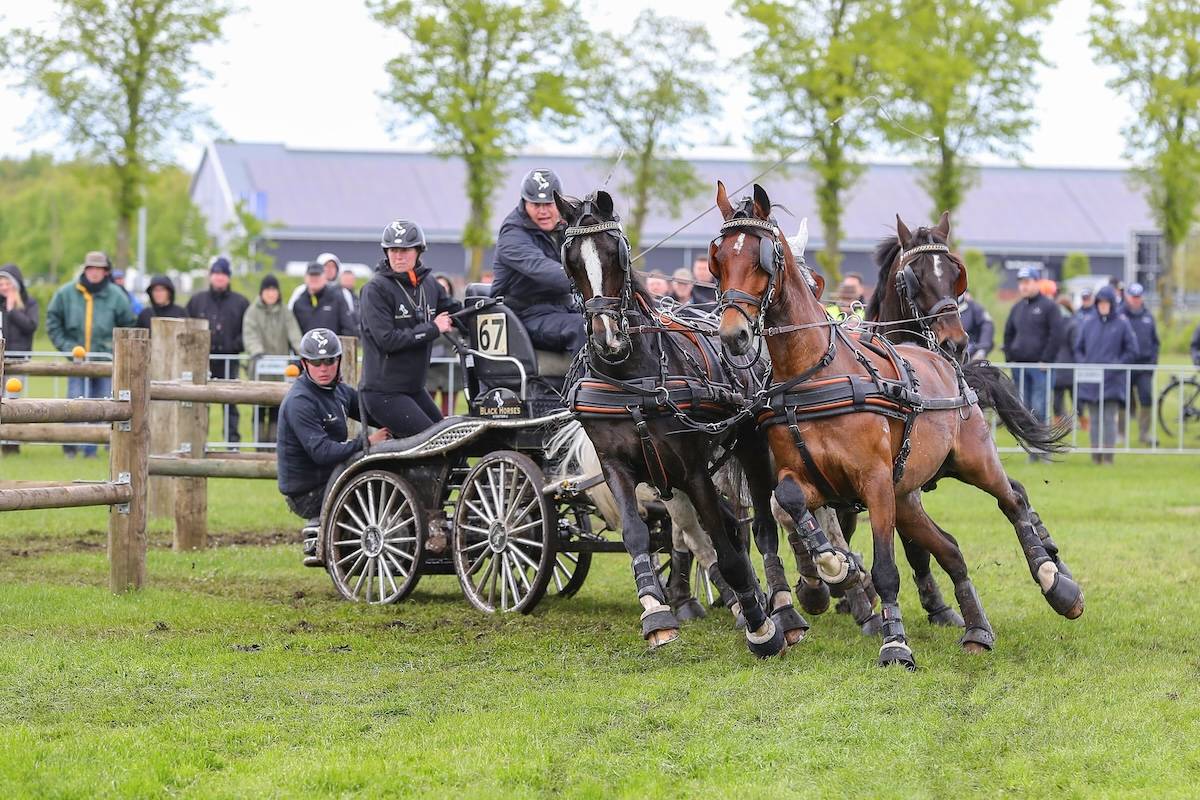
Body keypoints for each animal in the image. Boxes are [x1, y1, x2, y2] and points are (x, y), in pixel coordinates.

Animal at [552, 188, 806, 656]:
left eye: (617, 254)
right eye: (571, 260)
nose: (608, 339)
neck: (633, 377)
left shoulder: (692, 468)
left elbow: (729, 548)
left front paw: (761, 627)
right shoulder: (618, 466)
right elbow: (638, 535)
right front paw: (656, 614)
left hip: (749, 449)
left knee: (760, 527)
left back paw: (781, 608)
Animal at [710, 181, 1084, 669]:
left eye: (762, 257)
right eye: (718, 259)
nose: (733, 334)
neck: (815, 372)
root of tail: (948, 365)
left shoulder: (875, 483)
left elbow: (888, 567)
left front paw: (895, 642)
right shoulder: (813, 480)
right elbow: (788, 503)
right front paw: (831, 568)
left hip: (972, 463)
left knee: (1013, 501)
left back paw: (1056, 582)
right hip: (906, 493)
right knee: (951, 549)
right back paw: (977, 629)